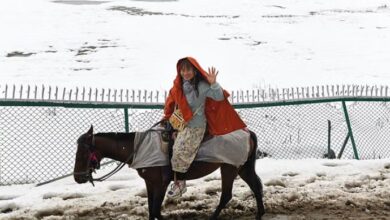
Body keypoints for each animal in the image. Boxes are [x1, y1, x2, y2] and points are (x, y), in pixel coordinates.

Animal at [73, 125, 266, 220]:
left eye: (83, 152)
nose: (77, 178)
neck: (138, 148)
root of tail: (248, 132)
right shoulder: (150, 183)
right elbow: (151, 211)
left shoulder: (161, 184)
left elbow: (156, 211)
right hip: (243, 167)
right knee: (256, 187)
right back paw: (259, 214)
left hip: (229, 167)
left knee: (226, 195)